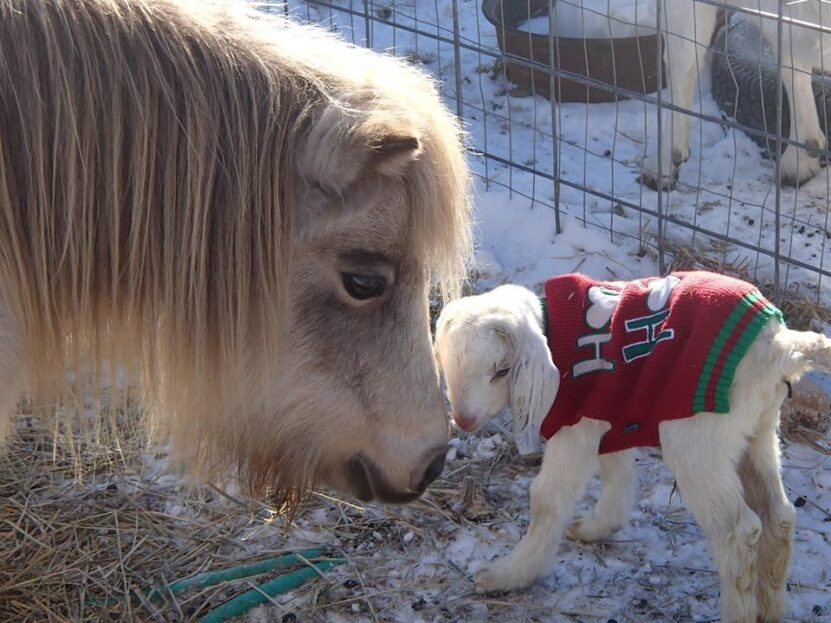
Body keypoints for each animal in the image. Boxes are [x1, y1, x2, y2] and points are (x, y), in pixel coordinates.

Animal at [436, 272, 831, 623]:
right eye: (450, 365)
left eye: (502, 371)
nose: (464, 421)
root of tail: (777, 346)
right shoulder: (611, 415)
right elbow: (617, 474)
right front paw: (598, 526)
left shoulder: (576, 428)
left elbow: (548, 500)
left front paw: (509, 575)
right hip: (758, 431)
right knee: (778, 514)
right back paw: (772, 607)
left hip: (697, 441)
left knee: (739, 531)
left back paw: (739, 612)